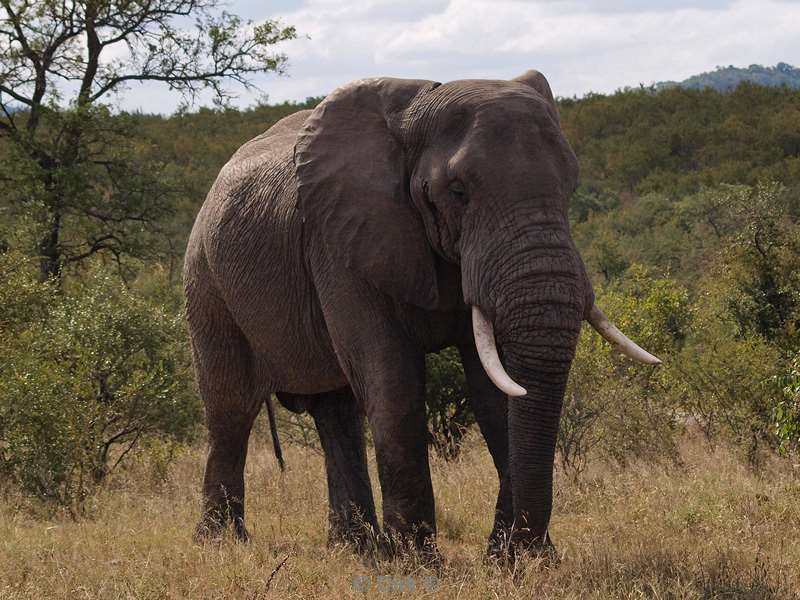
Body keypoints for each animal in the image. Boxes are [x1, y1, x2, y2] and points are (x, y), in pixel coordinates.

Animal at [184, 70, 660, 564]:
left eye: (571, 186)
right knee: (231, 406)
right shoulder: (340, 240)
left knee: (336, 412)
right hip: (206, 278)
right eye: (458, 192)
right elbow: (392, 380)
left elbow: (495, 389)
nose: (515, 552)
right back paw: (222, 543)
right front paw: (418, 561)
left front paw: (518, 560)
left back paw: (354, 548)